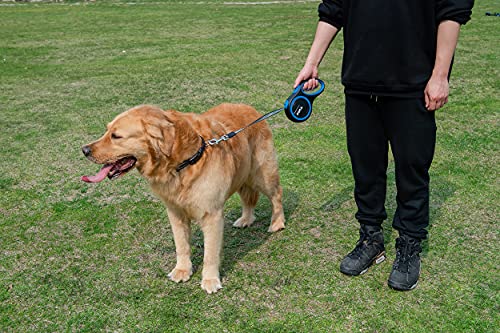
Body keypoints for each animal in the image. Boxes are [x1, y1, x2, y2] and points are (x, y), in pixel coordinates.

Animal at [81, 104, 286, 294]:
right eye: (107, 131)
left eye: (116, 136)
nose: (84, 150)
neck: (181, 164)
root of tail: (250, 108)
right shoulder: (175, 212)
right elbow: (181, 245)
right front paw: (182, 270)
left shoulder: (212, 215)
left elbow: (210, 254)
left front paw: (210, 280)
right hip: (243, 175)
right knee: (248, 199)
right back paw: (246, 219)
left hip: (262, 174)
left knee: (277, 194)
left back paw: (277, 223)